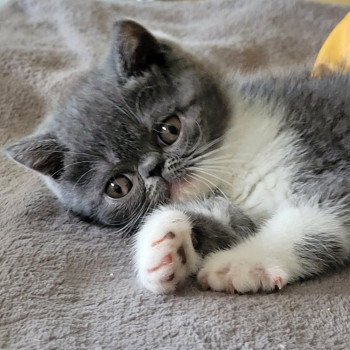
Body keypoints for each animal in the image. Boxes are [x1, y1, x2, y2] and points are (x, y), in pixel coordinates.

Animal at [5, 19, 350, 292]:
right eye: (118, 187)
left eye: (169, 130)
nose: (154, 168)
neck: (234, 162)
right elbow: (225, 224)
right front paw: (167, 242)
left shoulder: (330, 159)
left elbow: (308, 219)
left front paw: (241, 262)